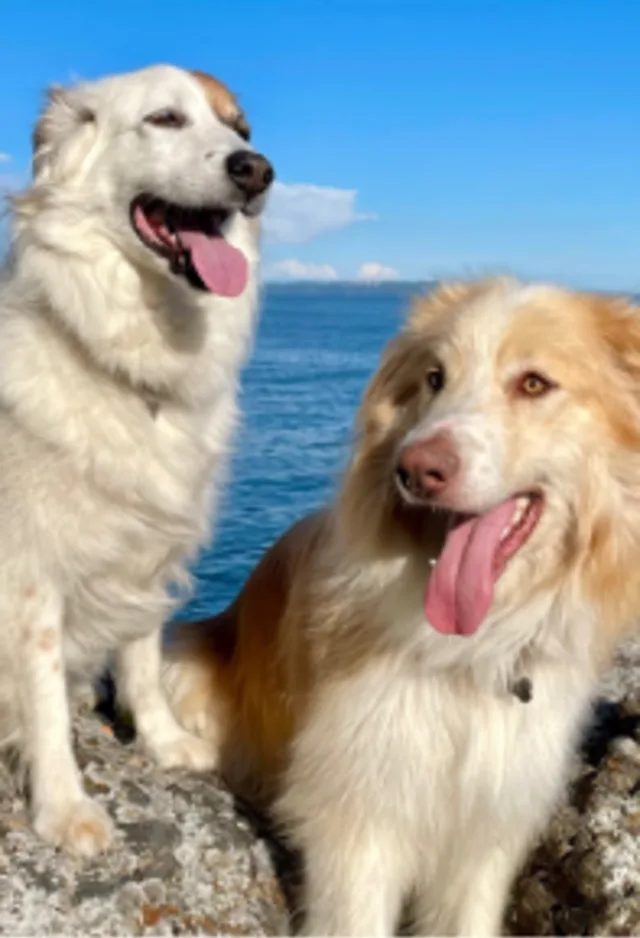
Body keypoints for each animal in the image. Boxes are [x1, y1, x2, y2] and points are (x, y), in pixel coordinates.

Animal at [0, 64, 272, 856]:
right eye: (164, 119)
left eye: (240, 130)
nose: (258, 170)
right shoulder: (28, 573)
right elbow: (43, 696)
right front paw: (65, 809)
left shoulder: (148, 545)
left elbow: (144, 658)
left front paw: (163, 742)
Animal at [168, 280, 640, 936]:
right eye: (434, 378)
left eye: (534, 383)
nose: (416, 470)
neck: (476, 648)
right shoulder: (358, 815)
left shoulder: (488, 824)